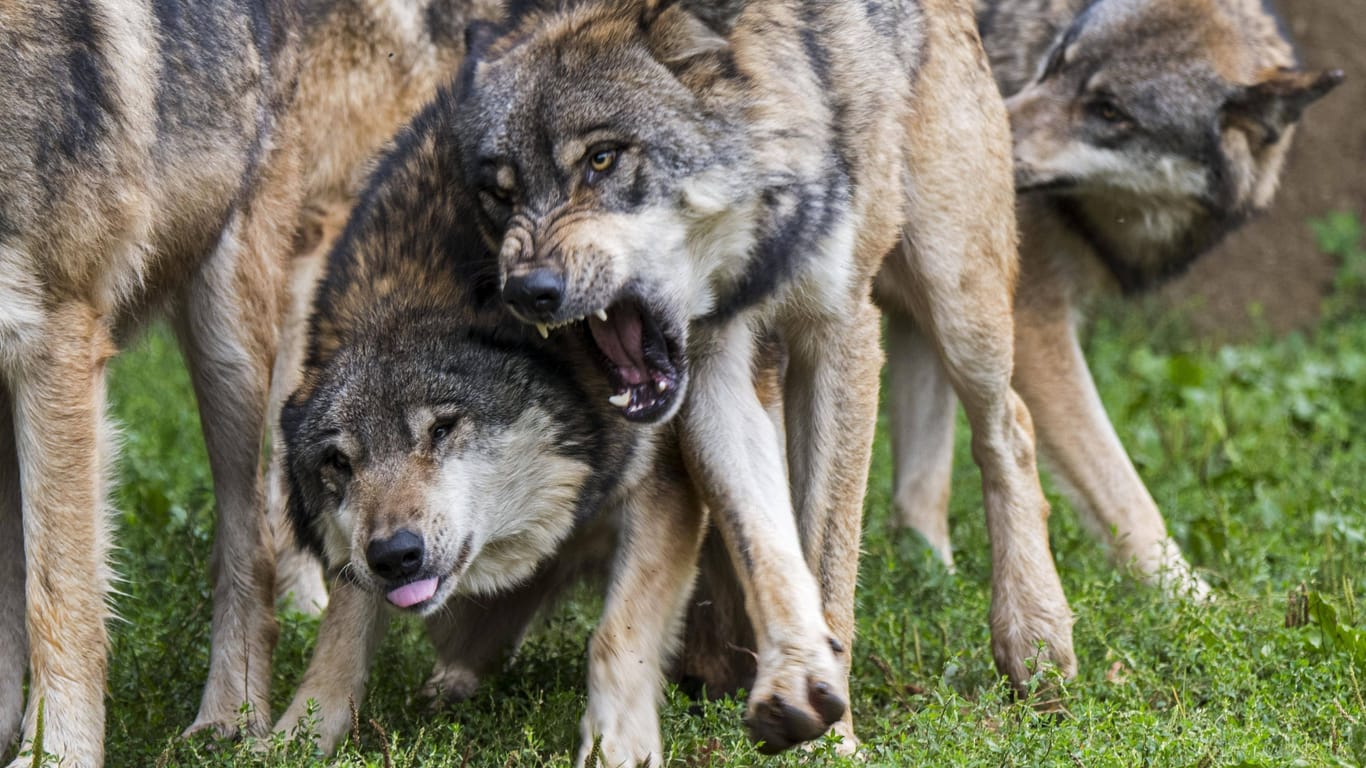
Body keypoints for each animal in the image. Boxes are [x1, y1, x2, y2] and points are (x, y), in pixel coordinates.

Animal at [0, 2, 304, 759]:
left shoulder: (52, 339)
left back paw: (230, 718)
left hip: (226, 345)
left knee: (253, 540)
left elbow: (61, 597)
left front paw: (56, 756)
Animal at [269, 90, 715, 765]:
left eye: (443, 429)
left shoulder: (661, 482)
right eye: (338, 463)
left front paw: (616, 745)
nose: (395, 556)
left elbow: (617, 633)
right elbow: (341, 628)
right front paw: (295, 735)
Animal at [885, 0, 1344, 593]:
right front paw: (1198, 601)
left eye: (1109, 111)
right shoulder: (1029, 323)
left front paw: (931, 583)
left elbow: (922, 489)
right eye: (1056, 63)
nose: (977, 141)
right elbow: (1127, 496)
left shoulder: (938, 311)